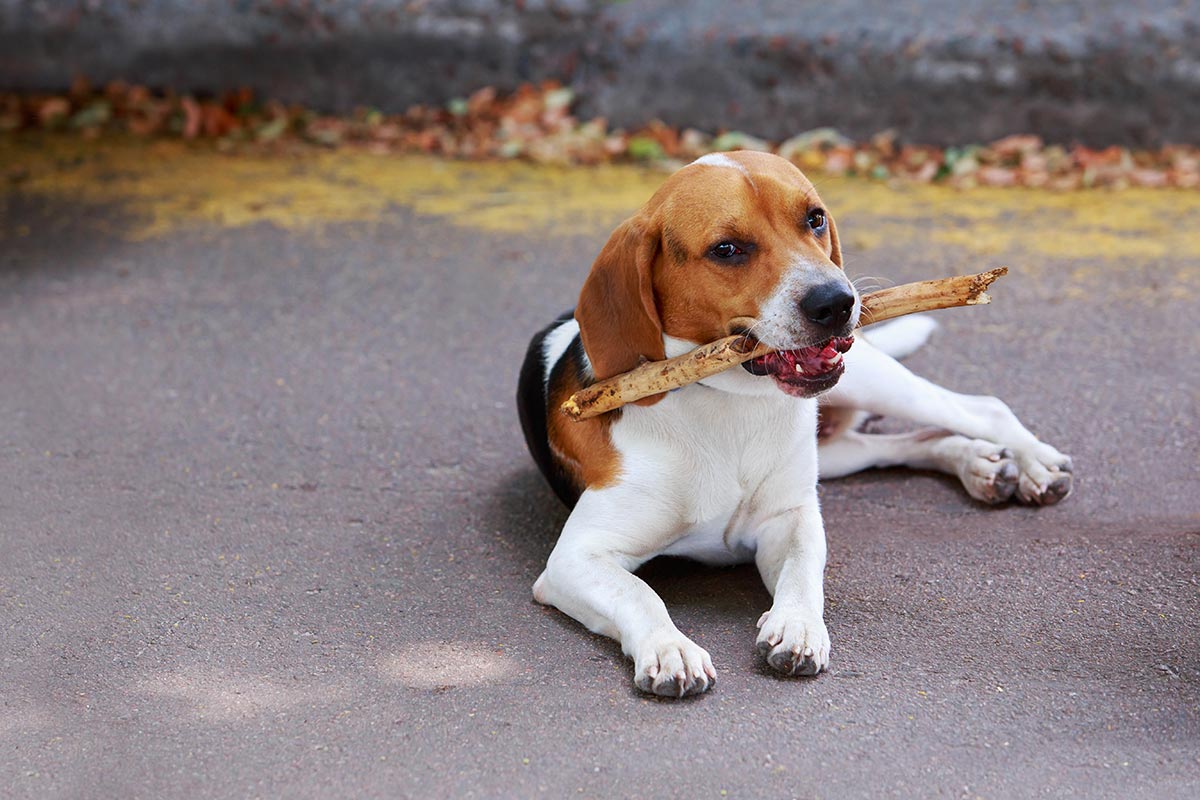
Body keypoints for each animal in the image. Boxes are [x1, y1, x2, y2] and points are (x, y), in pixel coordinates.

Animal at [511, 148, 1075, 695]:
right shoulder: (574, 560)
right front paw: (670, 648)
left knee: (982, 408)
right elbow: (639, 591)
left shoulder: (790, 518)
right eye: (727, 249)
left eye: (815, 218)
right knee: (906, 443)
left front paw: (798, 627)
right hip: (836, 451)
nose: (837, 302)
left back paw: (1034, 463)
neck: (729, 406)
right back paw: (979, 463)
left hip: (869, 383)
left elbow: (804, 572)